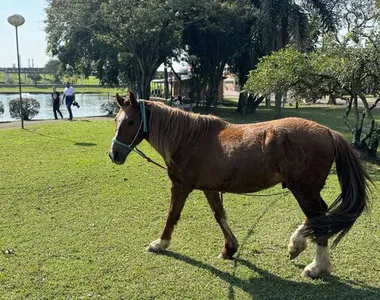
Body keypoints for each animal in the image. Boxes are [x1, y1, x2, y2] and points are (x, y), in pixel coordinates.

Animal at [107, 92, 372, 278]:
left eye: (130, 122)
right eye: (116, 119)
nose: (114, 154)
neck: (188, 138)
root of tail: (328, 132)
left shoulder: (181, 186)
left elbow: (172, 214)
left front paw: (160, 244)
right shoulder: (209, 188)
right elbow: (220, 215)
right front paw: (230, 248)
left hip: (303, 189)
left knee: (318, 218)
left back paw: (317, 267)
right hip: (306, 190)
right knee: (317, 217)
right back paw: (297, 245)